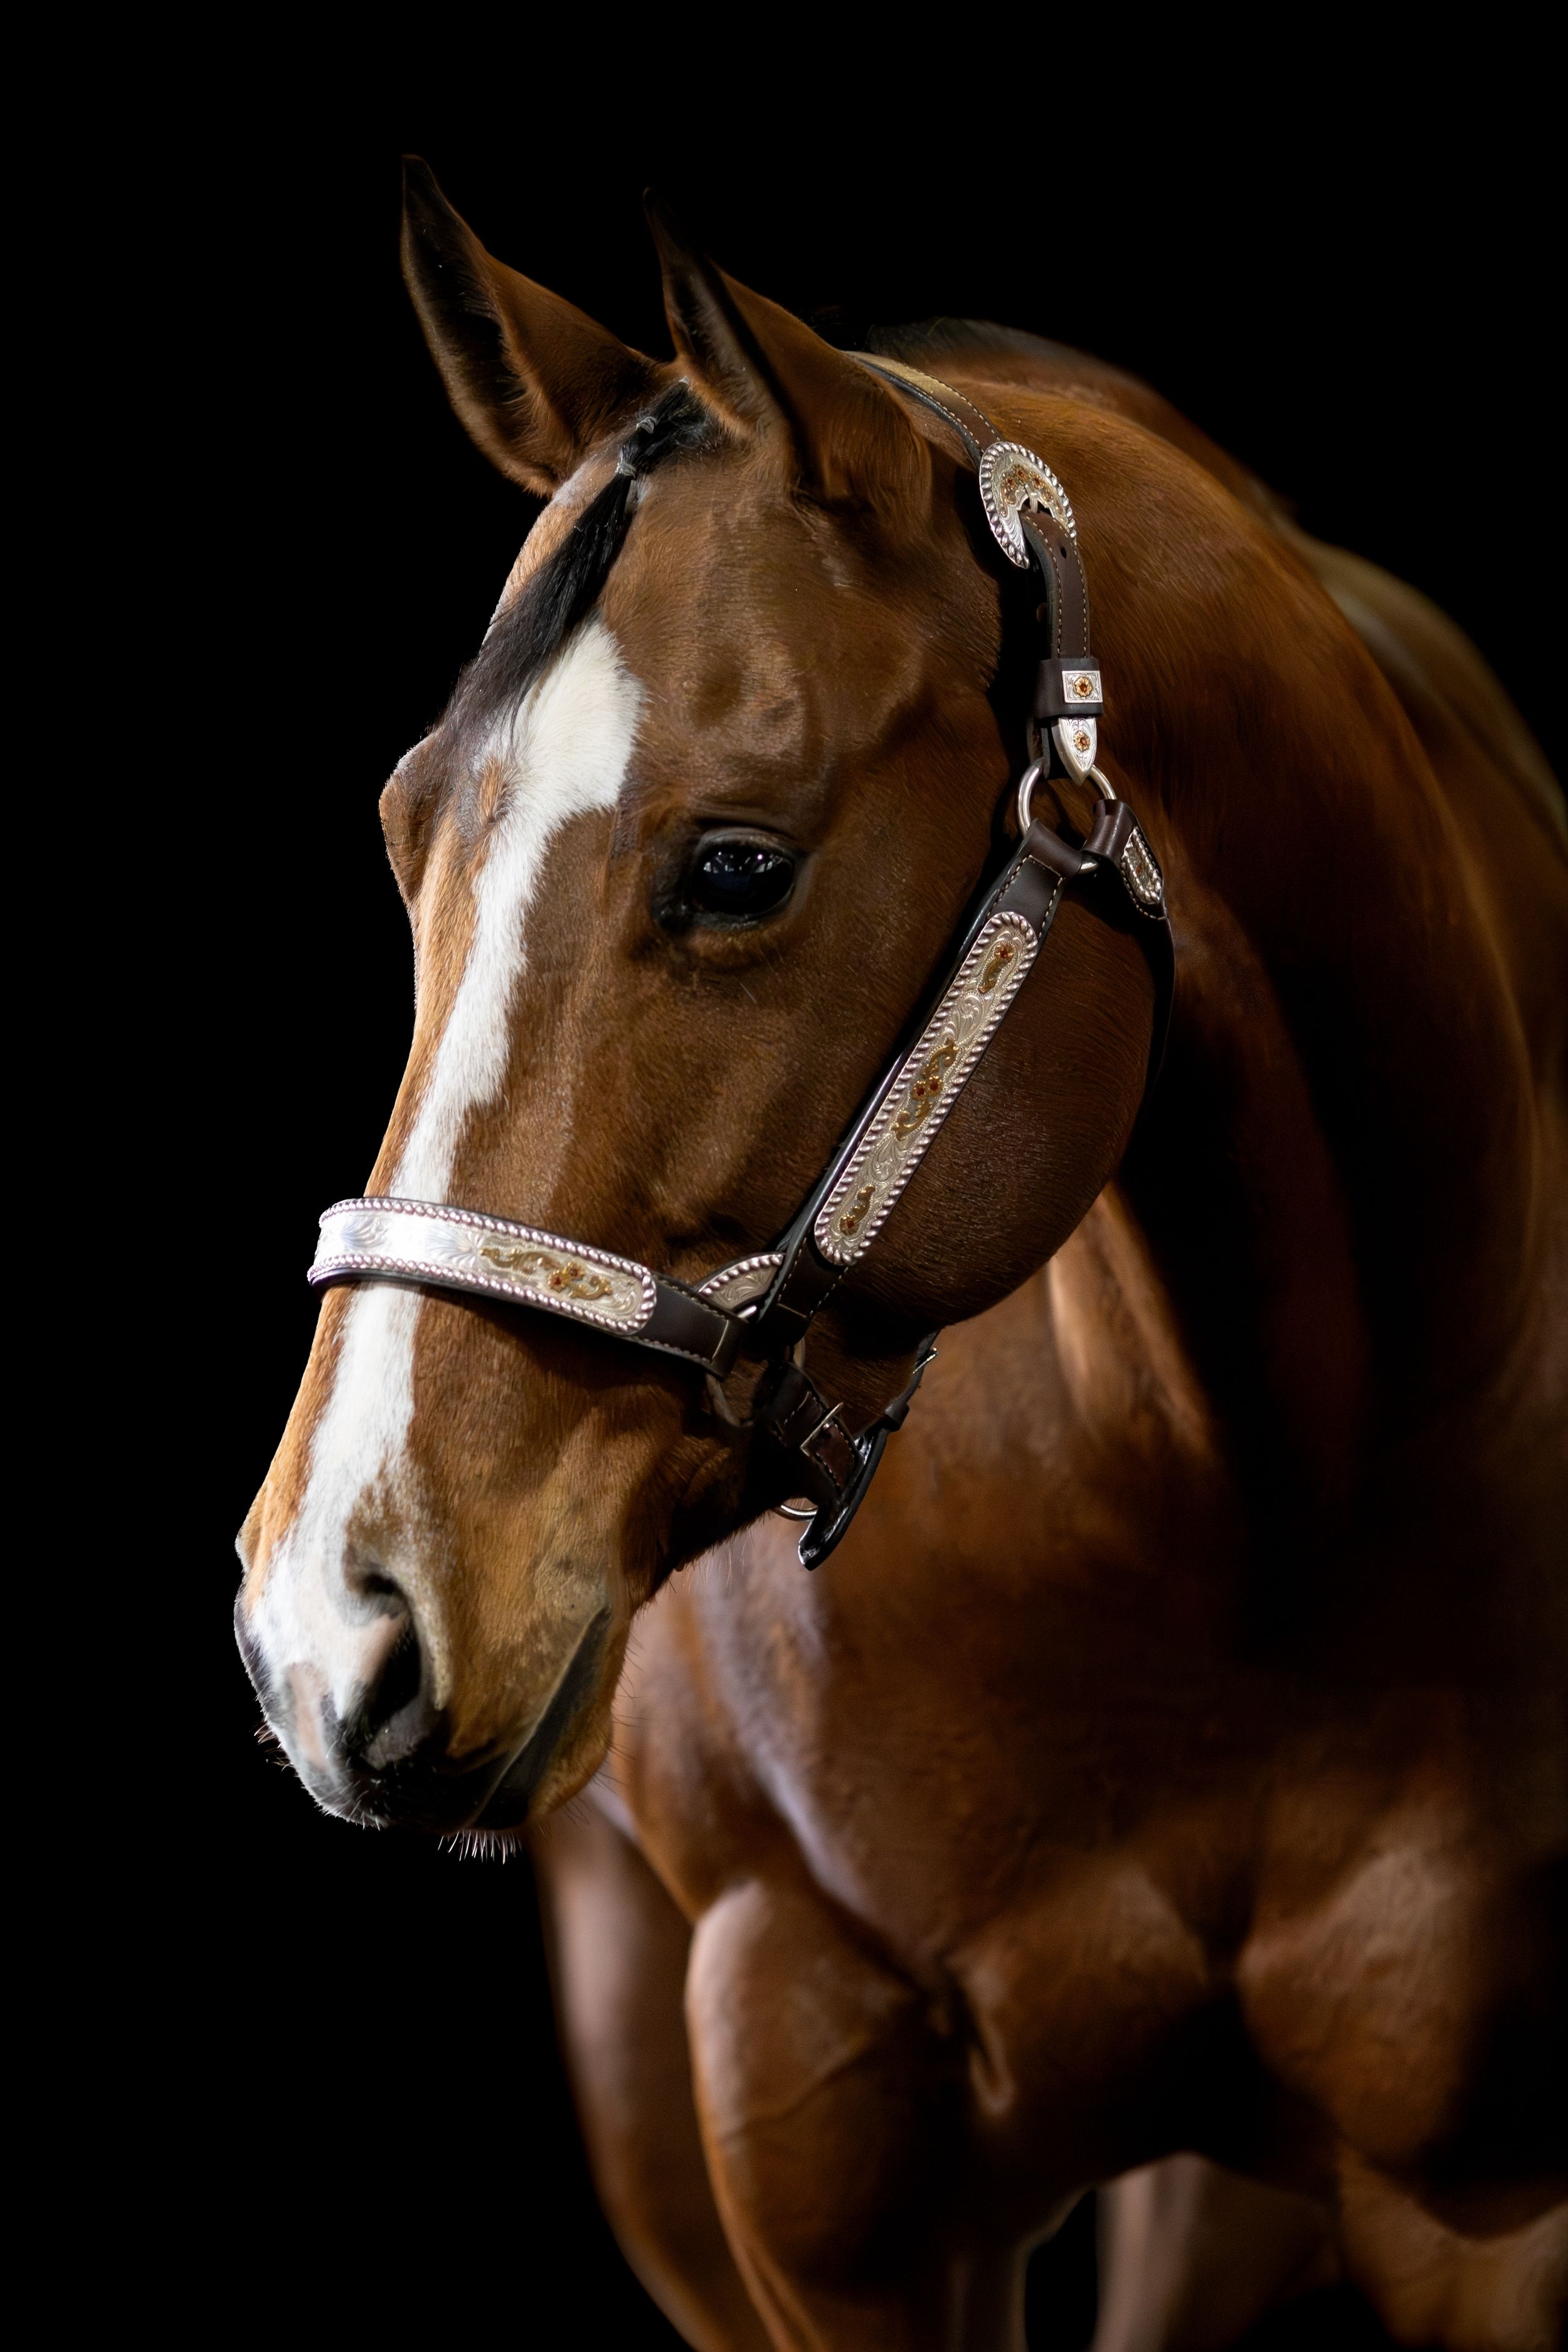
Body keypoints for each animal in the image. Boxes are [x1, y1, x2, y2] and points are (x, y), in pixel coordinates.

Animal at [235, 161, 1568, 2350]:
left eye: (736, 865)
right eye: (402, 831)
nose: (326, 1625)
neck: (1251, 1503)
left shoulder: (1490, 2204)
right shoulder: (825, 2140)